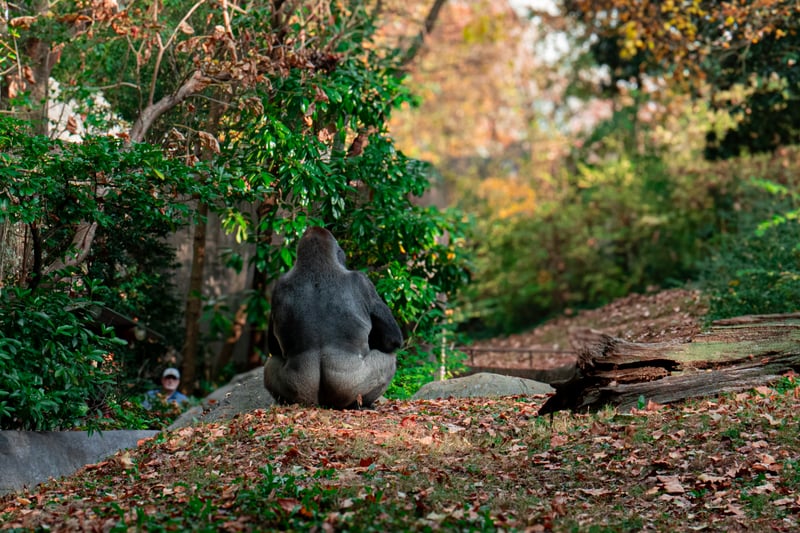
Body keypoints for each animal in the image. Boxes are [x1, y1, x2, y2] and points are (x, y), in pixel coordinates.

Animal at [263, 226, 403, 409]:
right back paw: (364, 403)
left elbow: (272, 346)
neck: (316, 266)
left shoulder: (277, 287)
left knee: (270, 363)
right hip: (350, 387)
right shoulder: (363, 281)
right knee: (388, 360)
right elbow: (392, 339)